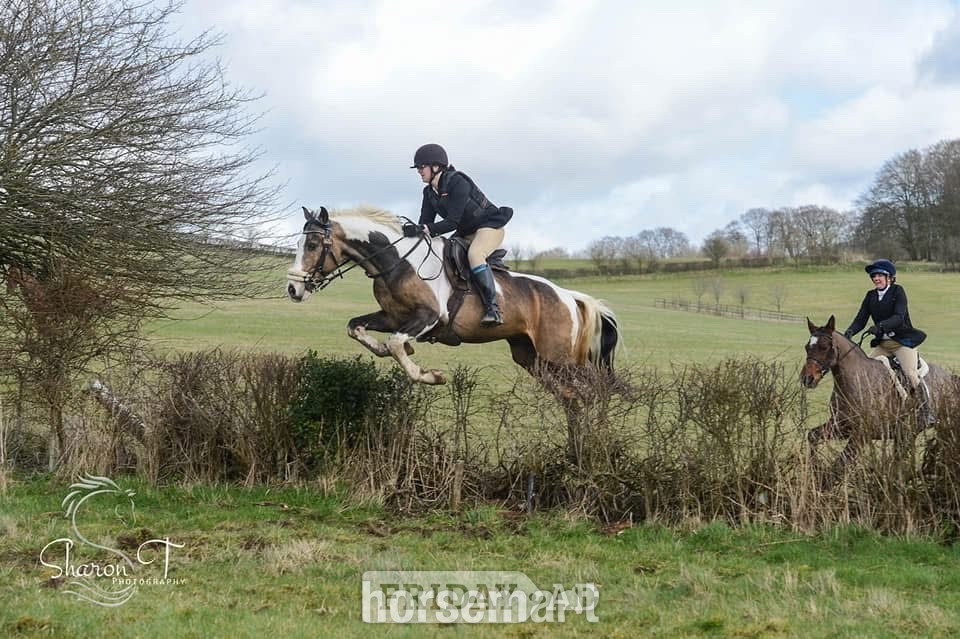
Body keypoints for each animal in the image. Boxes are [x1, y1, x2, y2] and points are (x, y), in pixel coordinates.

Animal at [285, 206, 620, 397]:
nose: (292, 289)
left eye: (312, 245)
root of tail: (569, 297)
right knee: (572, 398)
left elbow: (396, 344)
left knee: (591, 391)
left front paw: (430, 376)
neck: (397, 261)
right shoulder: (393, 317)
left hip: (559, 358)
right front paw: (388, 349)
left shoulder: (430, 316)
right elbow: (357, 328)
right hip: (531, 357)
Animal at [800, 315, 955, 485]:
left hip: (943, 425)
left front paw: (825, 484)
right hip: (905, 433)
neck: (857, 380)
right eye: (807, 347)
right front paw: (815, 470)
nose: (807, 379)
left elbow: (841, 465)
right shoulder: (841, 425)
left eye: (824, 347)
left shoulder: (860, 435)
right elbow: (813, 436)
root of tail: (950, 377)